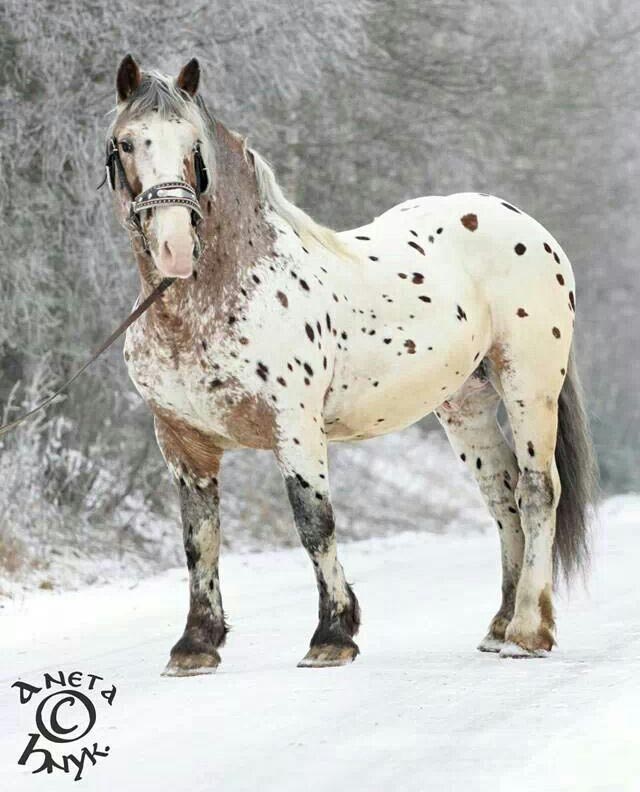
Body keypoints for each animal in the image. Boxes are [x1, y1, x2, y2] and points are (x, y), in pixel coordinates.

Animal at [107, 55, 596, 676]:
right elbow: (200, 539)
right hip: (466, 406)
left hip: (529, 386)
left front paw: (333, 635)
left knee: (536, 492)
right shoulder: (181, 441)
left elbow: (314, 522)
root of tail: (529, 228)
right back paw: (500, 626)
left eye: (194, 147)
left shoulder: (295, 427)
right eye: (126, 143)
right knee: (502, 497)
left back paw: (528, 633)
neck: (220, 294)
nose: (174, 248)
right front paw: (195, 644)